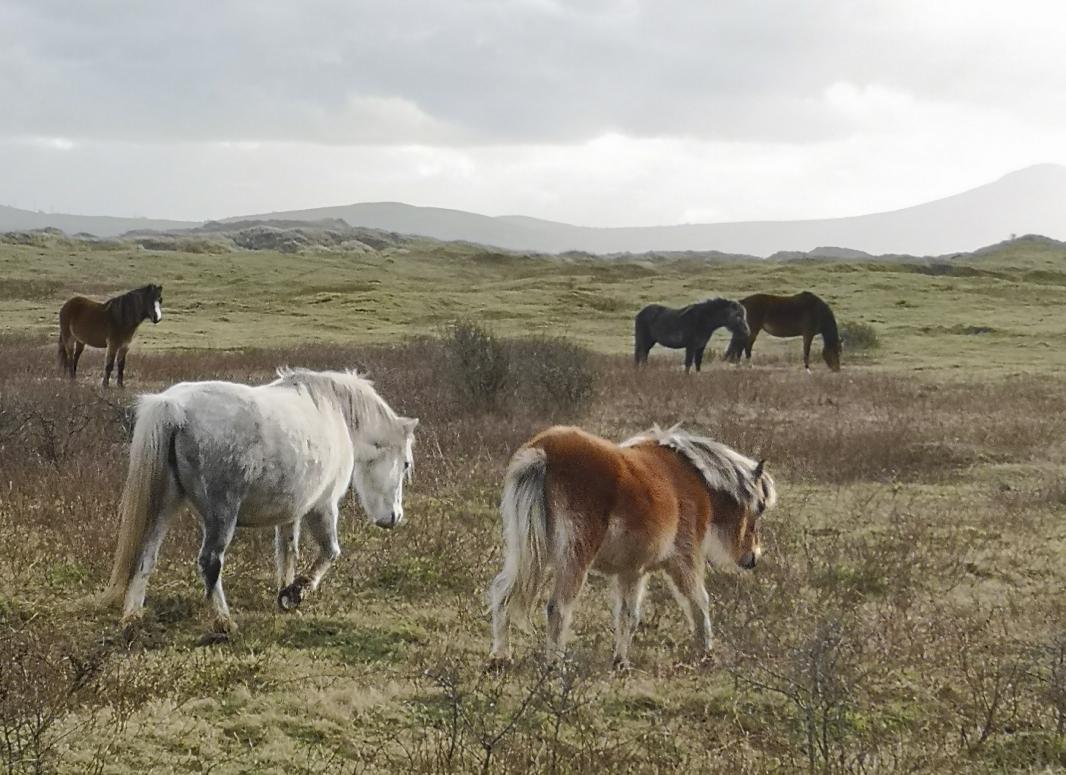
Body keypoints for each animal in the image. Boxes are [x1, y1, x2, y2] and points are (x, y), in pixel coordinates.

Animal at [100, 368, 419, 637]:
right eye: (405, 464)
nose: (395, 517)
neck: (334, 412)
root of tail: (174, 408)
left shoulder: (292, 513)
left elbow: (288, 552)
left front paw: (286, 594)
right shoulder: (323, 507)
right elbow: (330, 552)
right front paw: (299, 591)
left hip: (165, 506)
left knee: (145, 556)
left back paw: (132, 617)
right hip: (221, 515)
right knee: (210, 561)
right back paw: (224, 621)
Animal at [488, 424, 776, 669]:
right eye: (760, 507)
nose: (753, 557)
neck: (693, 480)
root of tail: (543, 451)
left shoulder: (632, 571)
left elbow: (628, 616)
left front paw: (621, 662)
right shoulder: (684, 560)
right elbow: (698, 603)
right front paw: (706, 655)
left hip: (526, 551)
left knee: (503, 593)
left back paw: (501, 657)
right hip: (574, 555)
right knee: (558, 606)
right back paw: (555, 666)